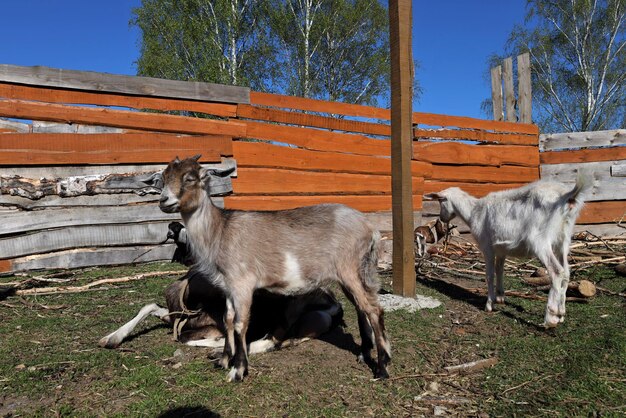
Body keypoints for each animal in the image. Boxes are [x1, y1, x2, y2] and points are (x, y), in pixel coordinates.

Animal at [424, 173, 588, 326]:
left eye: (440, 201)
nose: (442, 218)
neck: (473, 211)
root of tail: (567, 197)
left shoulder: (486, 246)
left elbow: (489, 274)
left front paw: (489, 304)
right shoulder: (501, 248)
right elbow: (499, 269)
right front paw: (500, 297)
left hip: (540, 240)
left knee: (557, 271)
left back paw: (551, 318)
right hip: (564, 239)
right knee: (566, 272)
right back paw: (561, 314)